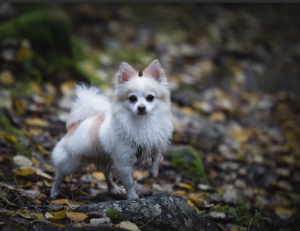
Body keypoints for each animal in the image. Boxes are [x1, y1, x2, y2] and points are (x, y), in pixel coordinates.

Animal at [51, 60, 173, 200]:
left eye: (150, 97)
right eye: (132, 98)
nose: (141, 107)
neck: (143, 122)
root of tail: (76, 124)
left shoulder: (154, 143)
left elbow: (157, 156)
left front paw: (153, 172)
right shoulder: (122, 162)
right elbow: (129, 182)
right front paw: (133, 197)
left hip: (106, 159)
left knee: (106, 175)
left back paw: (113, 189)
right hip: (71, 162)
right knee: (59, 174)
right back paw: (53, 191)